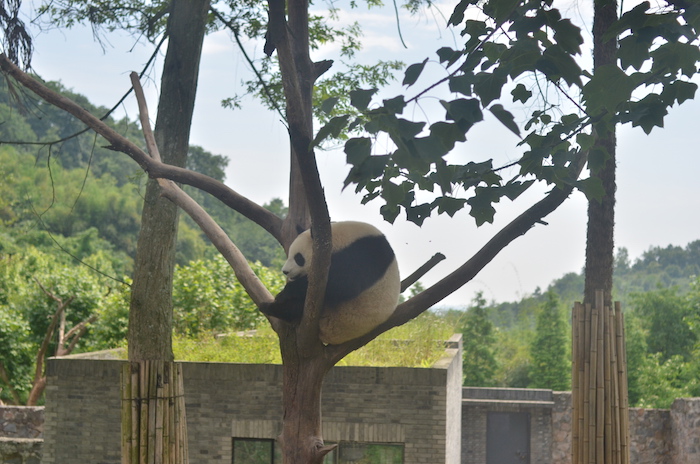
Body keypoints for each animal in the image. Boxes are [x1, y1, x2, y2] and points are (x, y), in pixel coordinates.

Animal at [260, 221, 400, 344]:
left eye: (298, 258)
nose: (285, 271)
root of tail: (329, 337)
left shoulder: (364, 253)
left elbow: (345, 284)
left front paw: (284, 293)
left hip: (341, 315)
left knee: (297, 306)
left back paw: (270, 307)